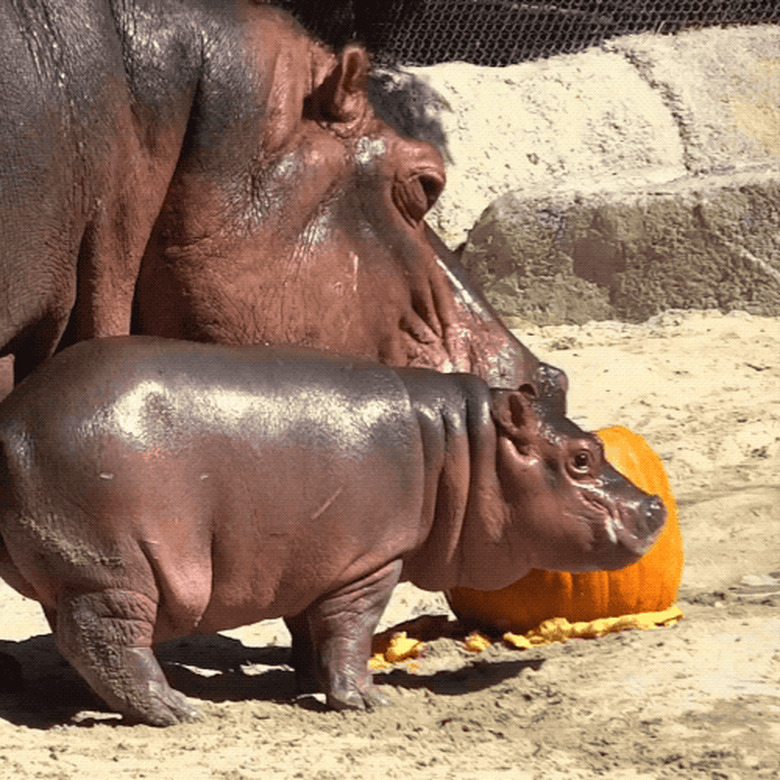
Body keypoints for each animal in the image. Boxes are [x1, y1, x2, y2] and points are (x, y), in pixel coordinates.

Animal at [0, 336, 664, 724]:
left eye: (595, 445)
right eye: (582, 457)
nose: (655, 506)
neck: (462, 445)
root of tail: (11, 418)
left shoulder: (313, 559)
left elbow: (309, 627)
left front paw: (307, 677)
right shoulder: (370, 561)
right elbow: (350, 631)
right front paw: (364, 700)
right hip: (115, 567)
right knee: (105, 640)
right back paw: (178, 710)